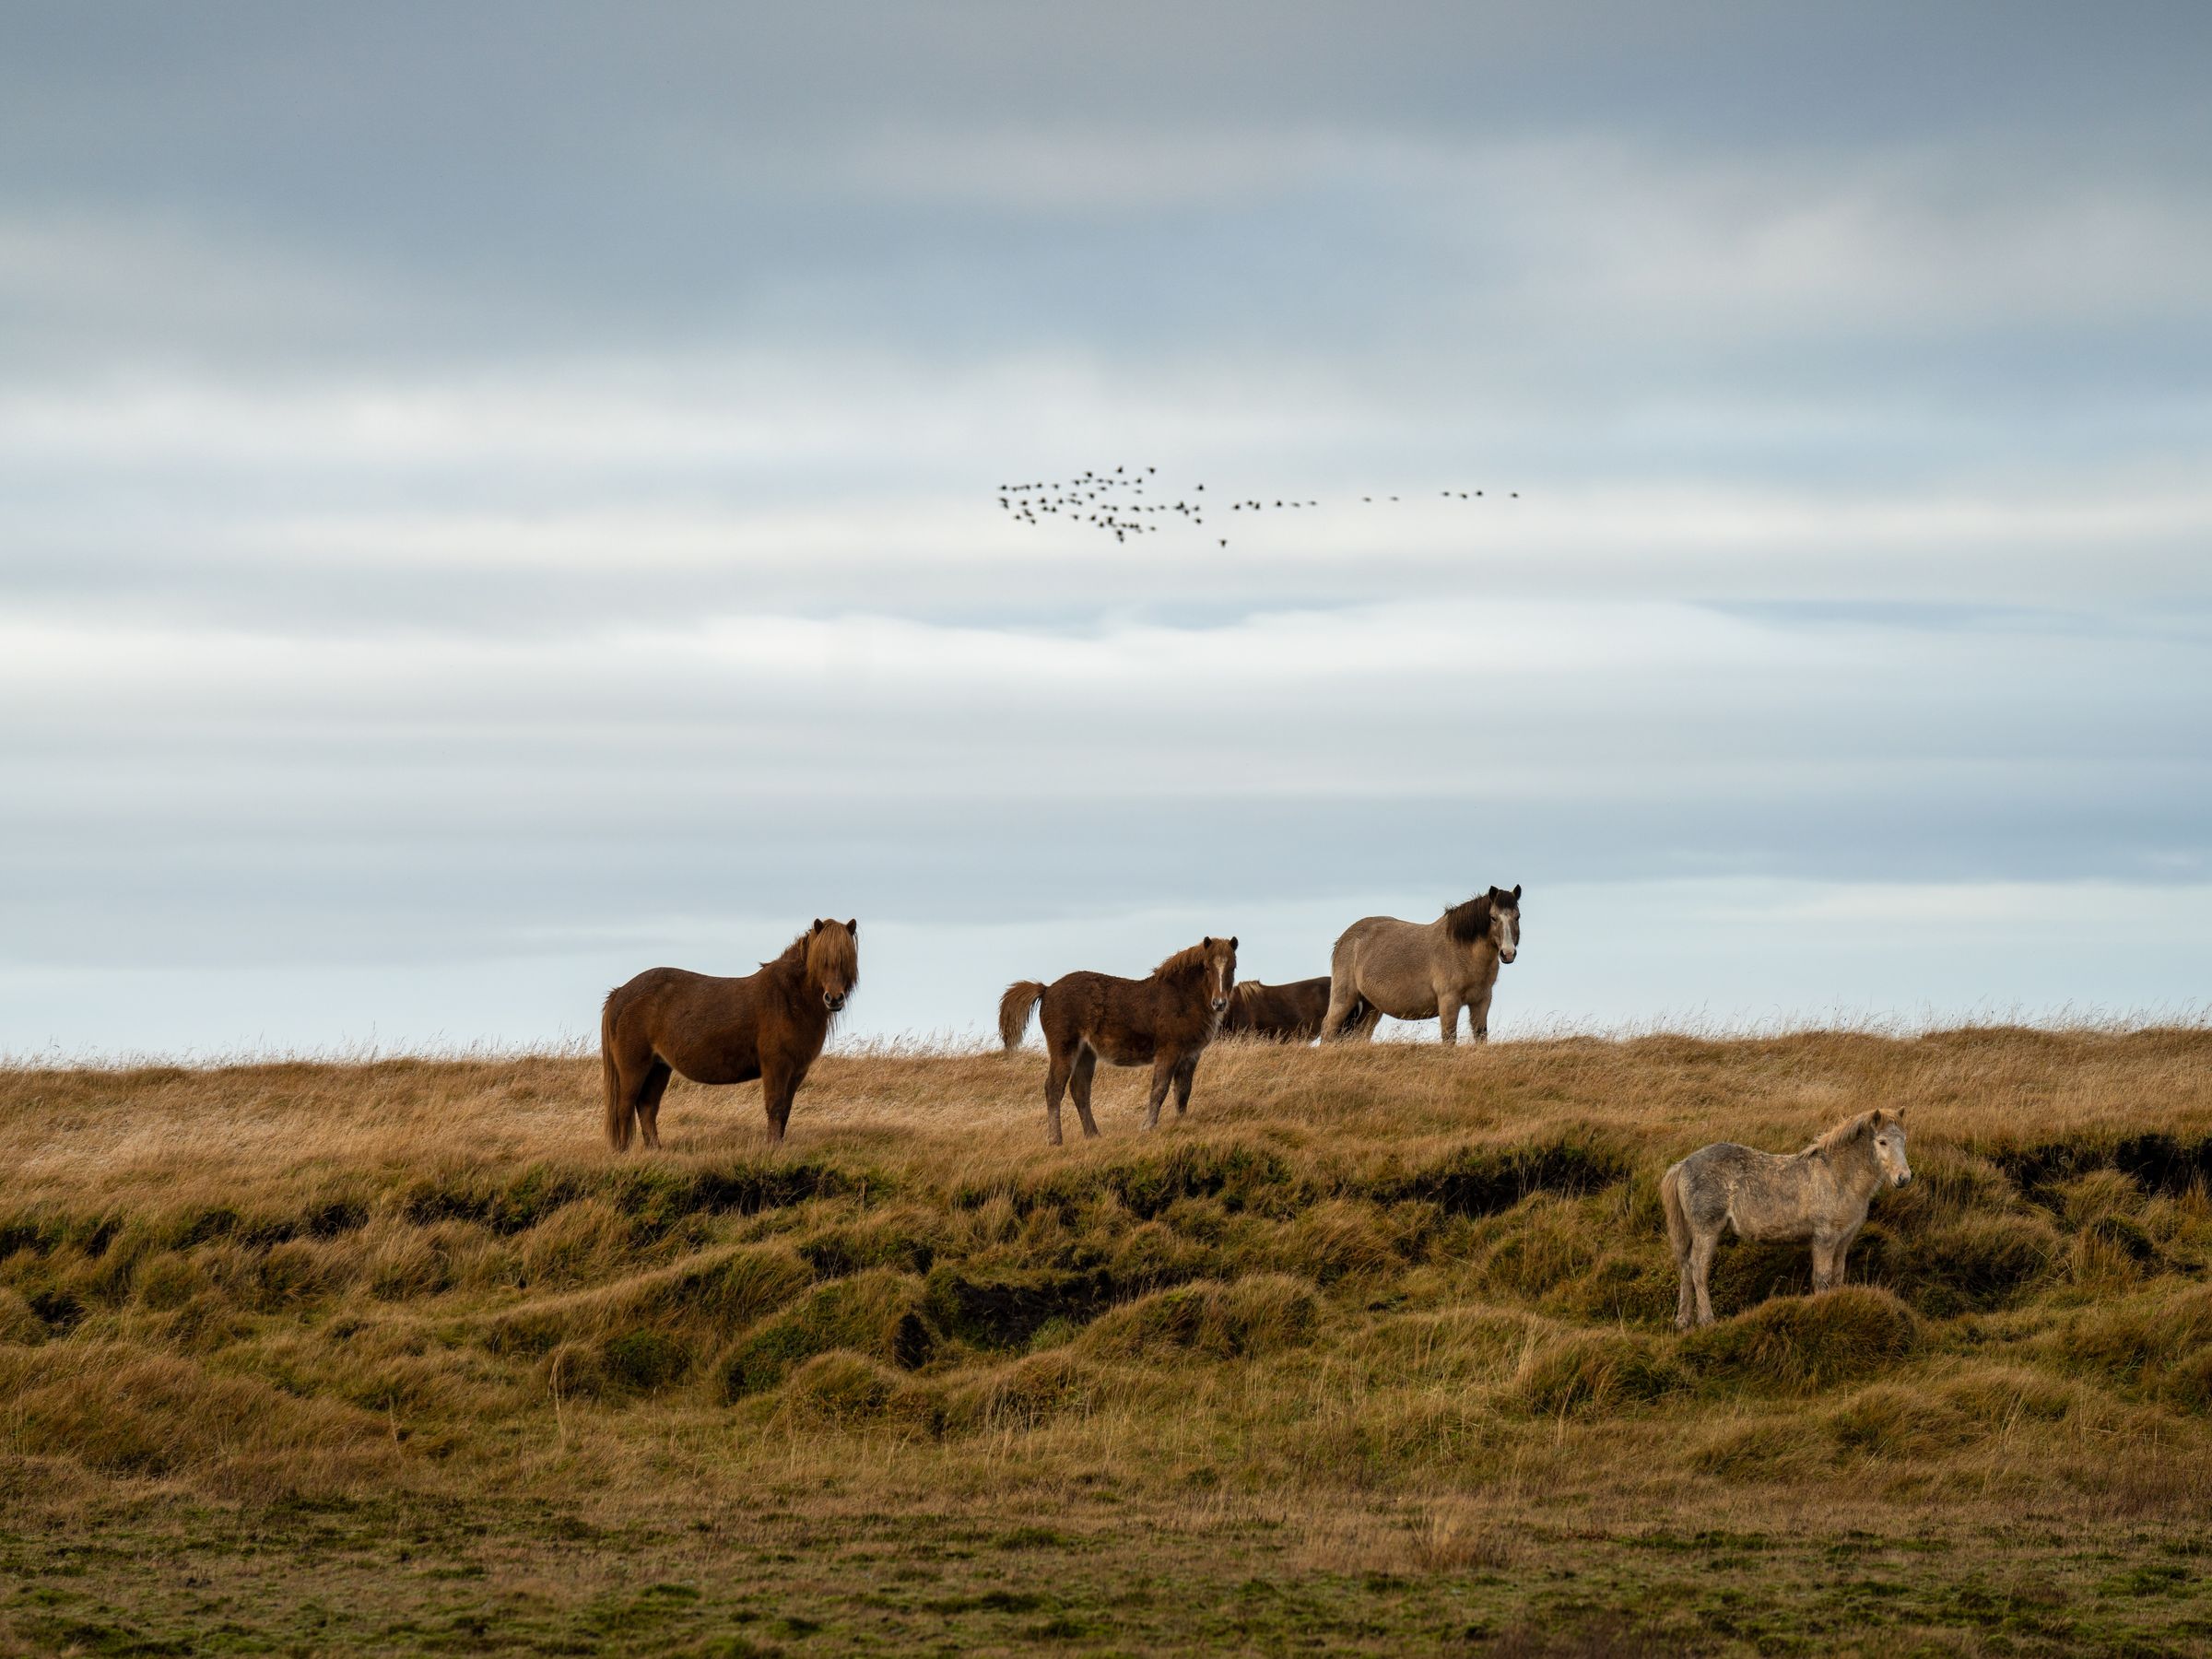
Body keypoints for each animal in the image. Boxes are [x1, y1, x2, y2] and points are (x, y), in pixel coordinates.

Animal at [600, 918, 858, 1150]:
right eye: (823, 961)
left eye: (846, 960)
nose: (834, 999)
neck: (788, 998)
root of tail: (620, 992)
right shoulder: (776, 1065)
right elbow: (774, 1106)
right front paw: (772, 1149)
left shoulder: (797, 1071)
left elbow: (785, 1109)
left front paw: (779, 1146)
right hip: (634, 1068)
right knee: (625, 1107)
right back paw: (624, 1151)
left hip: (659, 1067)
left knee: (647, 1108)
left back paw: (655, 1149)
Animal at [997, 936, 1238, 1145]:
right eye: (1207, 967)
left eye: (1232, 967)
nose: (1219, 1003)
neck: (1182, 997)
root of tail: (1046, 990)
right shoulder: (1168, 1051)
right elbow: (1159, 1089)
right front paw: (1148, 1127)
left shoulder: (1190, 1055)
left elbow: (1183, 1091)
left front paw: (1181, 1123)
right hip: (1064, 1049)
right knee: (1054, 1089)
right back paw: (1055, 1140)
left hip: (1086, 1053)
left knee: (1080, 1090)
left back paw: (1093, 1134)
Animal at [1320, 885, 1521, 1044]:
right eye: (1493, 917)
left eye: (1517, 916)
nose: (1508, 953)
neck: (1463, 951)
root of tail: (1344, 939)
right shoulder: (1449, 1001)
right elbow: (1449, 1038)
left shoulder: (1481, 1001)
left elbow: (1481, 1037)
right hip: (1344, 998)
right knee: (1328, 1028)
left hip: (1372, 1006)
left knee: (1361, 1035)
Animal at [1660, 1108, 1913, 1329]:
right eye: (1882, 1141)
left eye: (1903, 1140)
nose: (1904, 1177)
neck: (1838, 1176)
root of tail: (1682, 1165)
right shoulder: (1824, 1238)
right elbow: (1822, 1279)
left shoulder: (1844, 1239)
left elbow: (1837, 1276)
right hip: (1707, 1231)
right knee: (1698, 1270)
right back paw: (1707, 1321)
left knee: (1686, 1267)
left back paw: (1683, 1321)